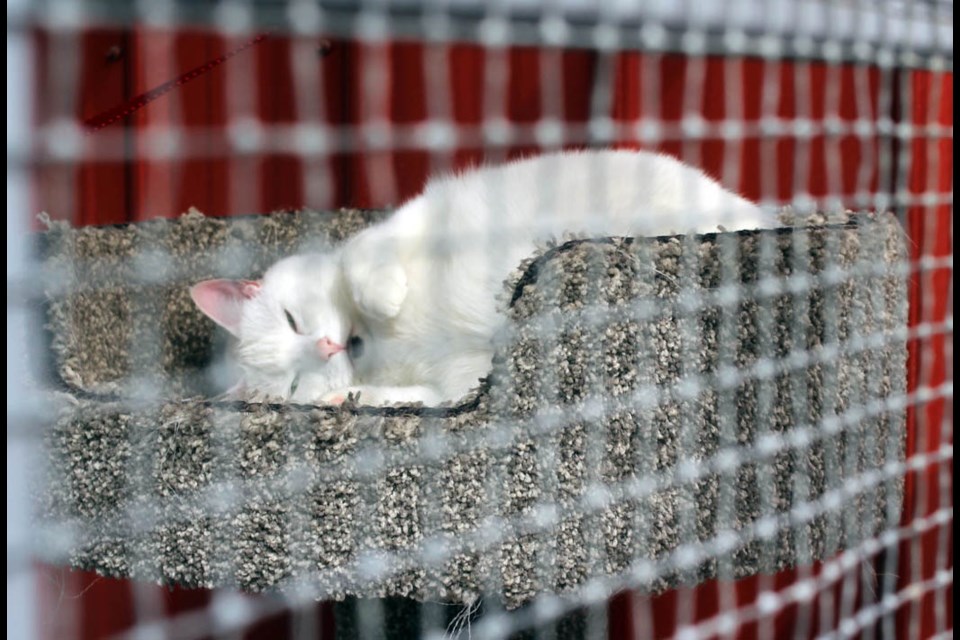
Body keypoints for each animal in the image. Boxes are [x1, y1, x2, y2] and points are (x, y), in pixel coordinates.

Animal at [191, 149, 776, 404]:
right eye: (293, 382)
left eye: (291, 318)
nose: (329, 347)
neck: (378, 346)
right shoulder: (450, 389)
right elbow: (419, 401)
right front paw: (349, 398)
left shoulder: (410, 224)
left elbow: (362, 260)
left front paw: (385, 296)